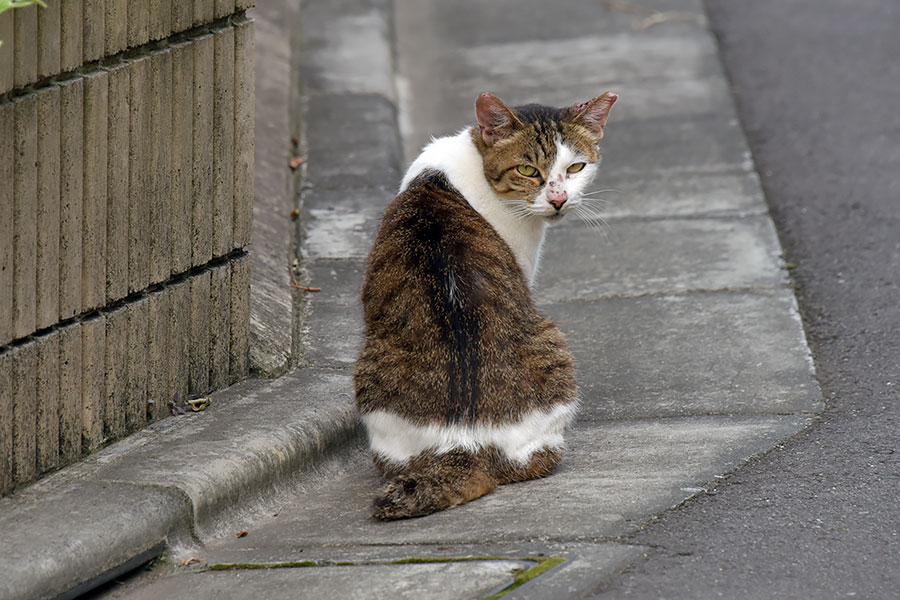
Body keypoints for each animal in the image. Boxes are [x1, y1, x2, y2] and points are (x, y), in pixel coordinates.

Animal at [356, 91, 616, 516]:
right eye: (527, 169)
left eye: (576, 167)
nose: (558, 199)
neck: (475, 159)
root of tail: (466, 441)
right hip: (551, 340)